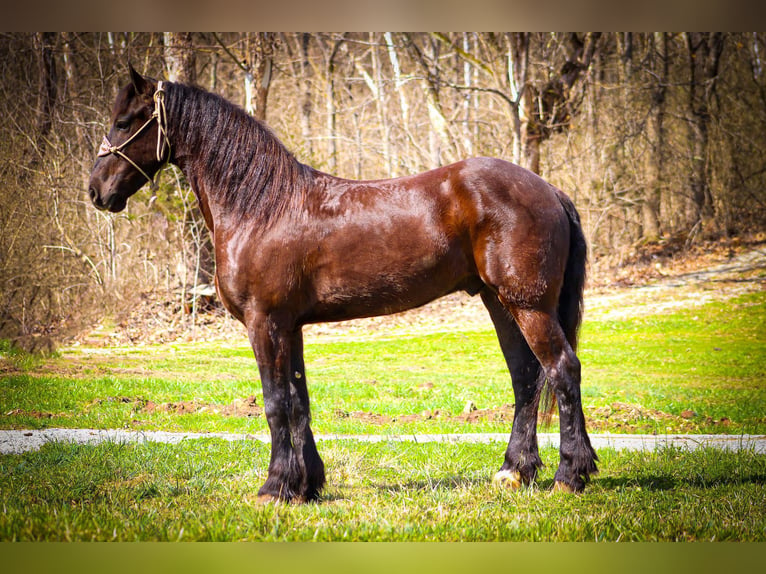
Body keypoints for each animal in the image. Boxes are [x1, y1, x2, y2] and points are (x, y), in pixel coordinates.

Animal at [85, 65, 600, 502]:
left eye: (125, 121)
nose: (96, 191)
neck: (261, 206)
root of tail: (549, 190)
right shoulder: (289, 326)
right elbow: (299, 401)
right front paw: (305, 485)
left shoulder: (264, 322)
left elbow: (275, 403)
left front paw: (274, 488)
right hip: (500, 303)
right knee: (527, 376)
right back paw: (516, 471)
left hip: (528, 306)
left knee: (562, 369)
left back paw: (569, 476)